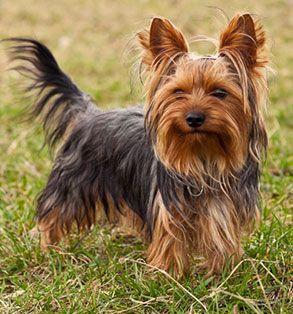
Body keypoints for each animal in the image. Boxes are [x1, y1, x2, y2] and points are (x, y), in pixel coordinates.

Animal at [6, 13, 268, 276]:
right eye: (178, 92)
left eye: (220, 92)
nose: (194, 118)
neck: (203, 156)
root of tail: (88, 113)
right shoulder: (167, 210)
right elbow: (169, 241)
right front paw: (168, 274)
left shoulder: (224, 208)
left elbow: (221, 240)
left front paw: (222, 272)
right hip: (71, 185)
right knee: (52, 215)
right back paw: (47, 249)